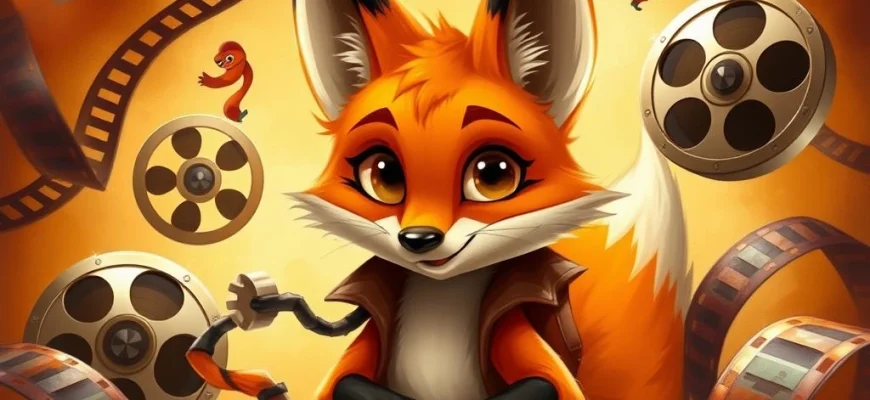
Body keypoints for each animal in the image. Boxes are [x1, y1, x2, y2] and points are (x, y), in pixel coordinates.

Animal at [187, 0, 692, 399]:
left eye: (493, 174)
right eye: (383, 174)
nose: (419, 239)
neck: (441, 298)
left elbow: (544, 383)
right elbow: (345, 372)